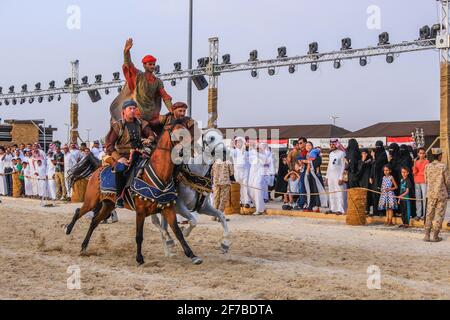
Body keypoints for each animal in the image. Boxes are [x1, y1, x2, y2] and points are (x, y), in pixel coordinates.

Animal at [65, 120, 202, 264]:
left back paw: (84, 247)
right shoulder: (140, 211)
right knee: (79, 212)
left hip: (108, 205)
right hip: (91, 201)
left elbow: (178, 232)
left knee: (94, 221)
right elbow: (139, 236)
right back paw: (68, 229)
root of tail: (99, 168)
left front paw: (192, 255)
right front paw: (139, 258)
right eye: (179, 134)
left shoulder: (168, 209)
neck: (159, 174)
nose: (191, 149)